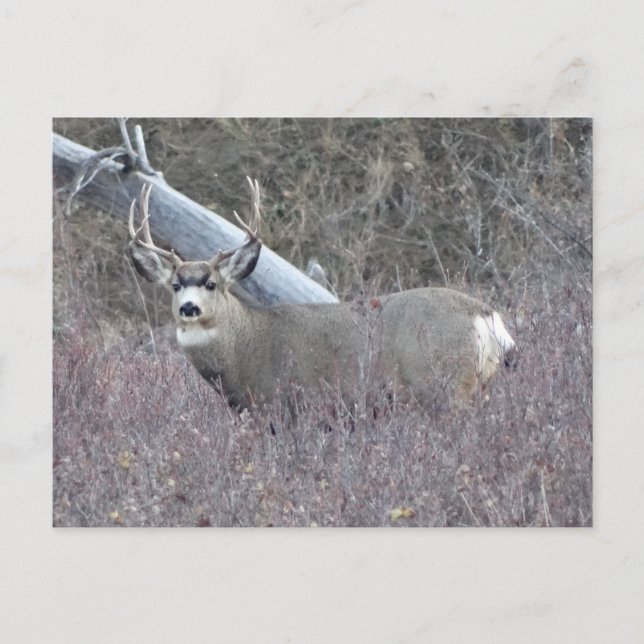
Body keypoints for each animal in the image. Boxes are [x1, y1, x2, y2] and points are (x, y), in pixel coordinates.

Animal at [128, 178, 516, 411]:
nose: (189, 308)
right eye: (175, 285)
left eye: (211, 283)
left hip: (443, 385)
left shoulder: (288, 405)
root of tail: (485, 315)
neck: (246, 348)